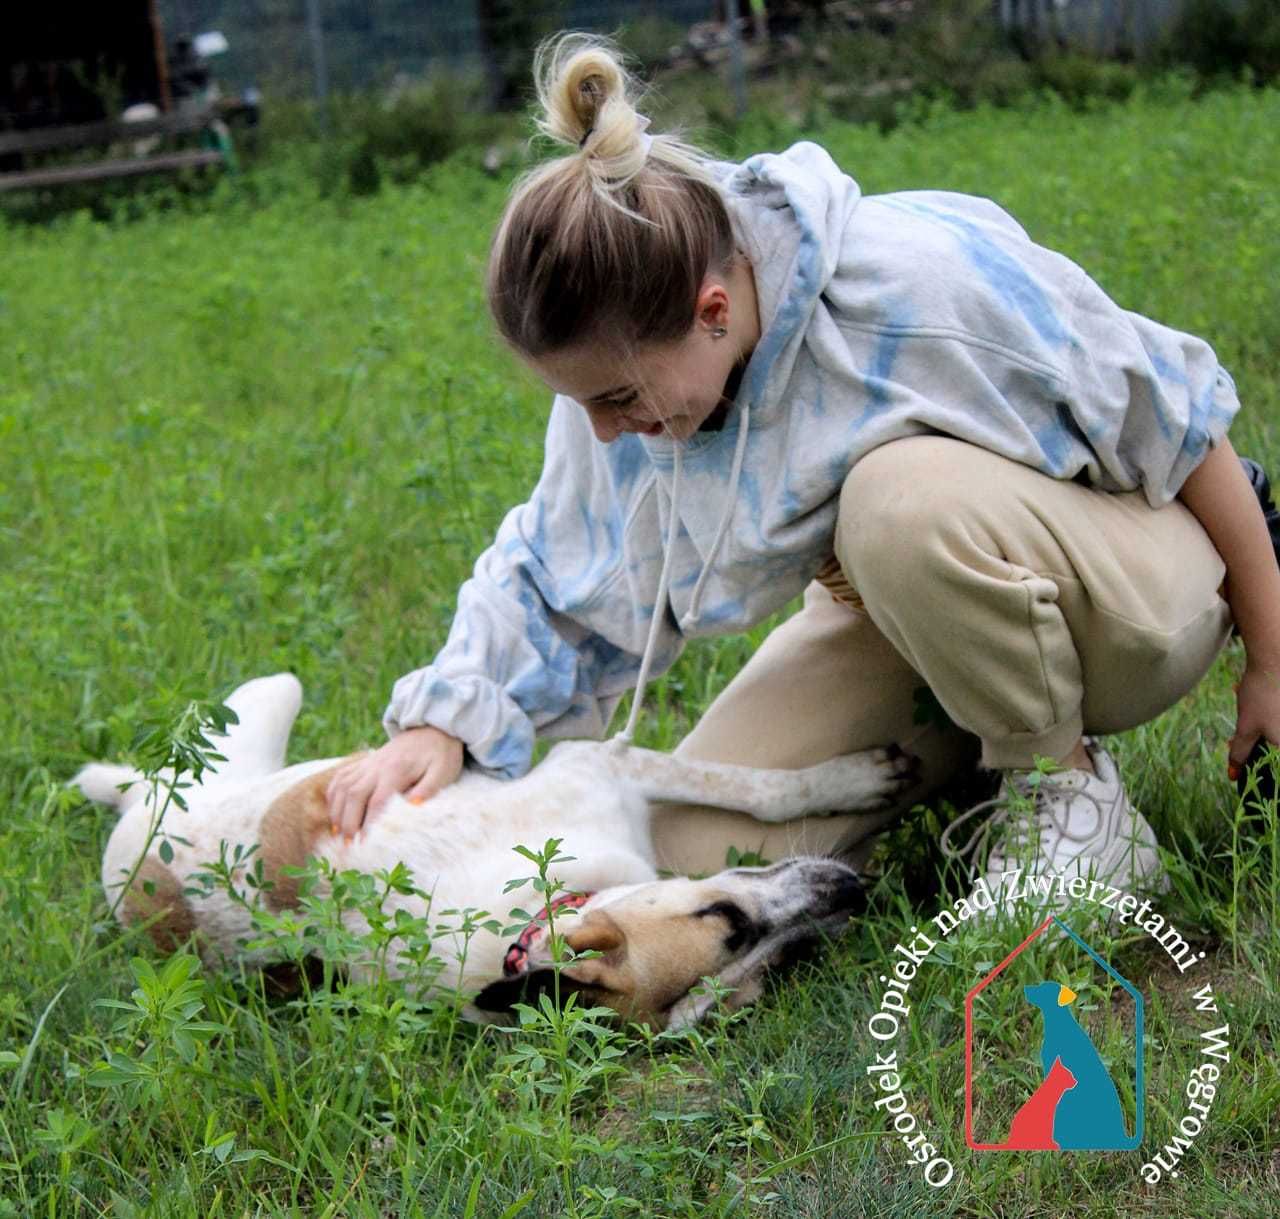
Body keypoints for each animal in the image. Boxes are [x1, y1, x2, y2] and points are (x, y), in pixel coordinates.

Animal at [74, 676, 916, 1029]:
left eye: (780, 968)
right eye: (731, 927)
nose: (853, 893)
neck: (524, 927)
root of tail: (139, 817)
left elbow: (755, 788)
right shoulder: (597, 762)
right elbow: (757, 786)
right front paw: (855, 777)